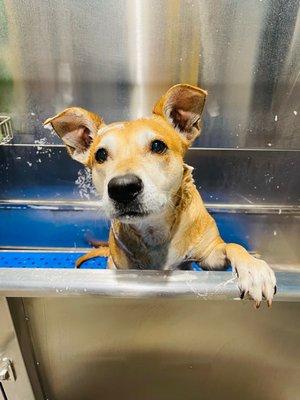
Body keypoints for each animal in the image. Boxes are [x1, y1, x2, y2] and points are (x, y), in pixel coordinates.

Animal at [44, 83, 276, 306]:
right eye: (100, 155)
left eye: (158, 145)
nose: (123, 188)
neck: (155, 229)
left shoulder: (211, 258)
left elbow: (233, 246)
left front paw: (254, 269)